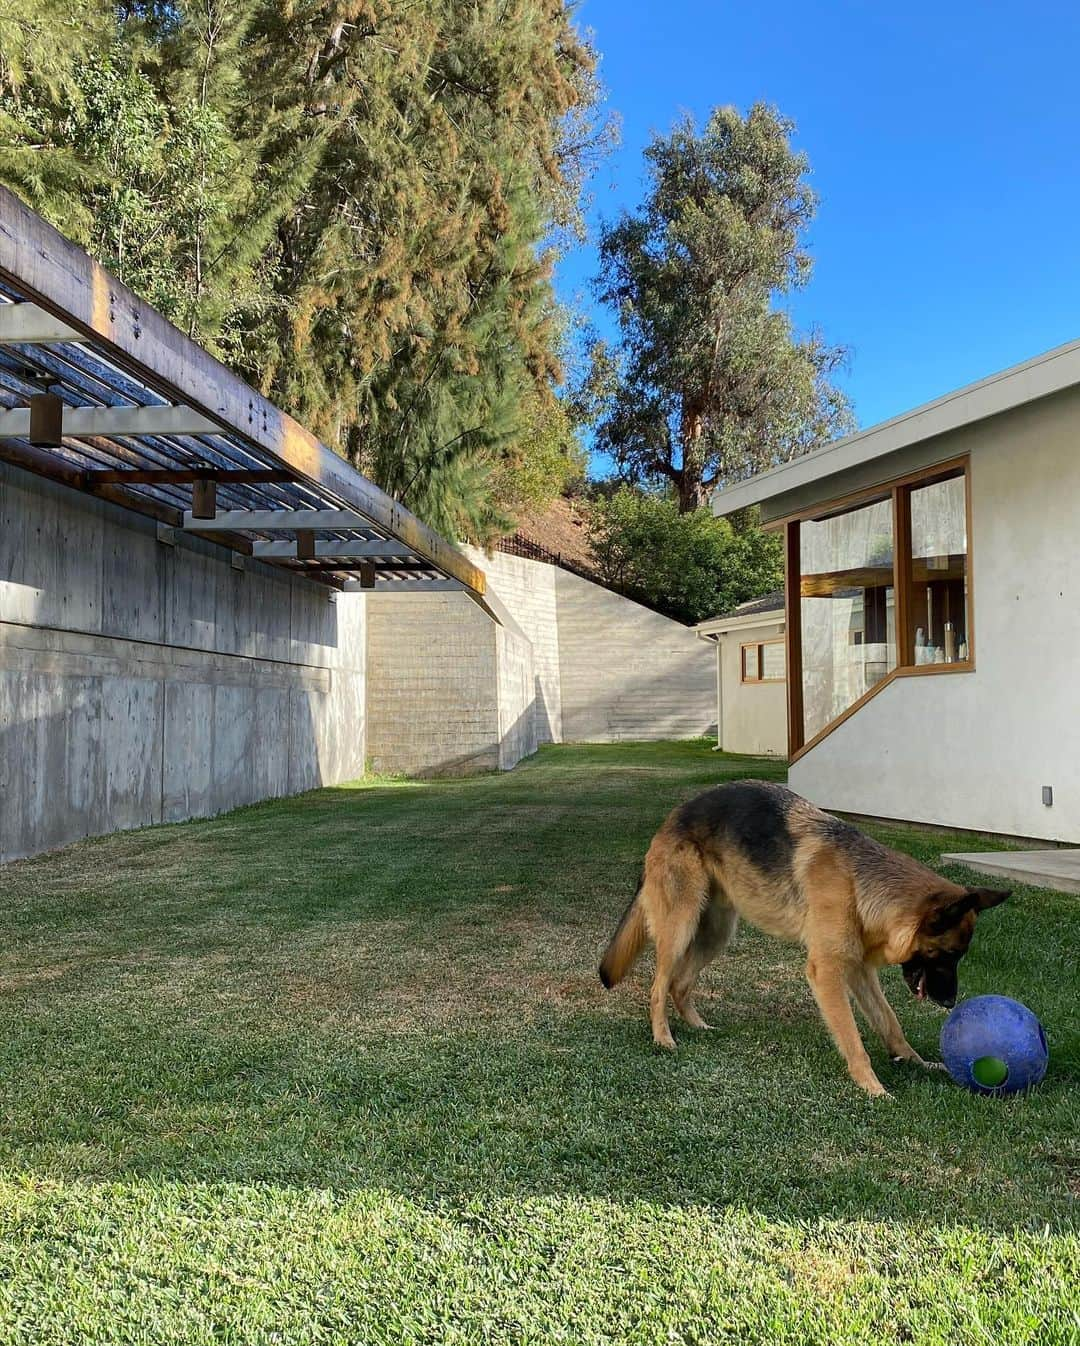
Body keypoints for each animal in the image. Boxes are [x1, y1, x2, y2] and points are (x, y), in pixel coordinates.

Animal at [592, 786, 1007, 1098]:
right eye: (947, 955)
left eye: (957, 957)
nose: (951, 1003)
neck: (859, 883)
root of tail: (672, 817)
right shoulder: (827, 972)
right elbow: (853, 1039)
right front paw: (873, 1089)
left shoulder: (859, 970)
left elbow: (889, 1022)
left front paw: (916, 1061)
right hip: (680, 927)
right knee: (658, 986)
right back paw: (663, 1038)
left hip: (716, 932)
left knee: (680, 983)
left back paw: (697, 1027)